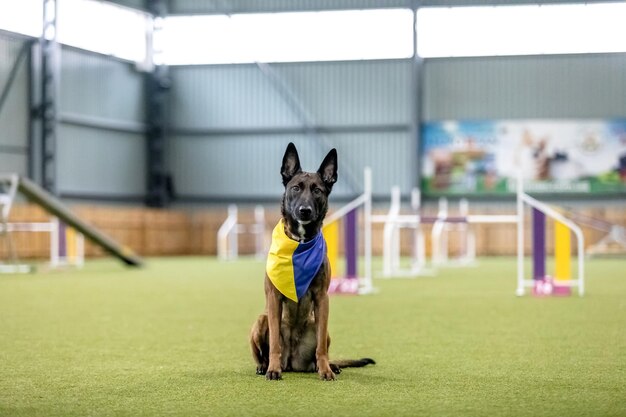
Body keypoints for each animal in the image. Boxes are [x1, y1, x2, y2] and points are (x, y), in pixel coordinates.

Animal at [249, 141, 376, 378]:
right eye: (296, 188)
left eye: (317, 190)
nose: (305, 210)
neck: (299, 244)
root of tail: (292, 362)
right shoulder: (273, 297)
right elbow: (275, 343)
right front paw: (273, 369)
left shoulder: (322, 298)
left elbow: (321, 348)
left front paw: (325, 370)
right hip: (260, 321)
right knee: (264, 351)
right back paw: (264, 366)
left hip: (323, 328)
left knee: (321, 346)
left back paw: (329, 365)